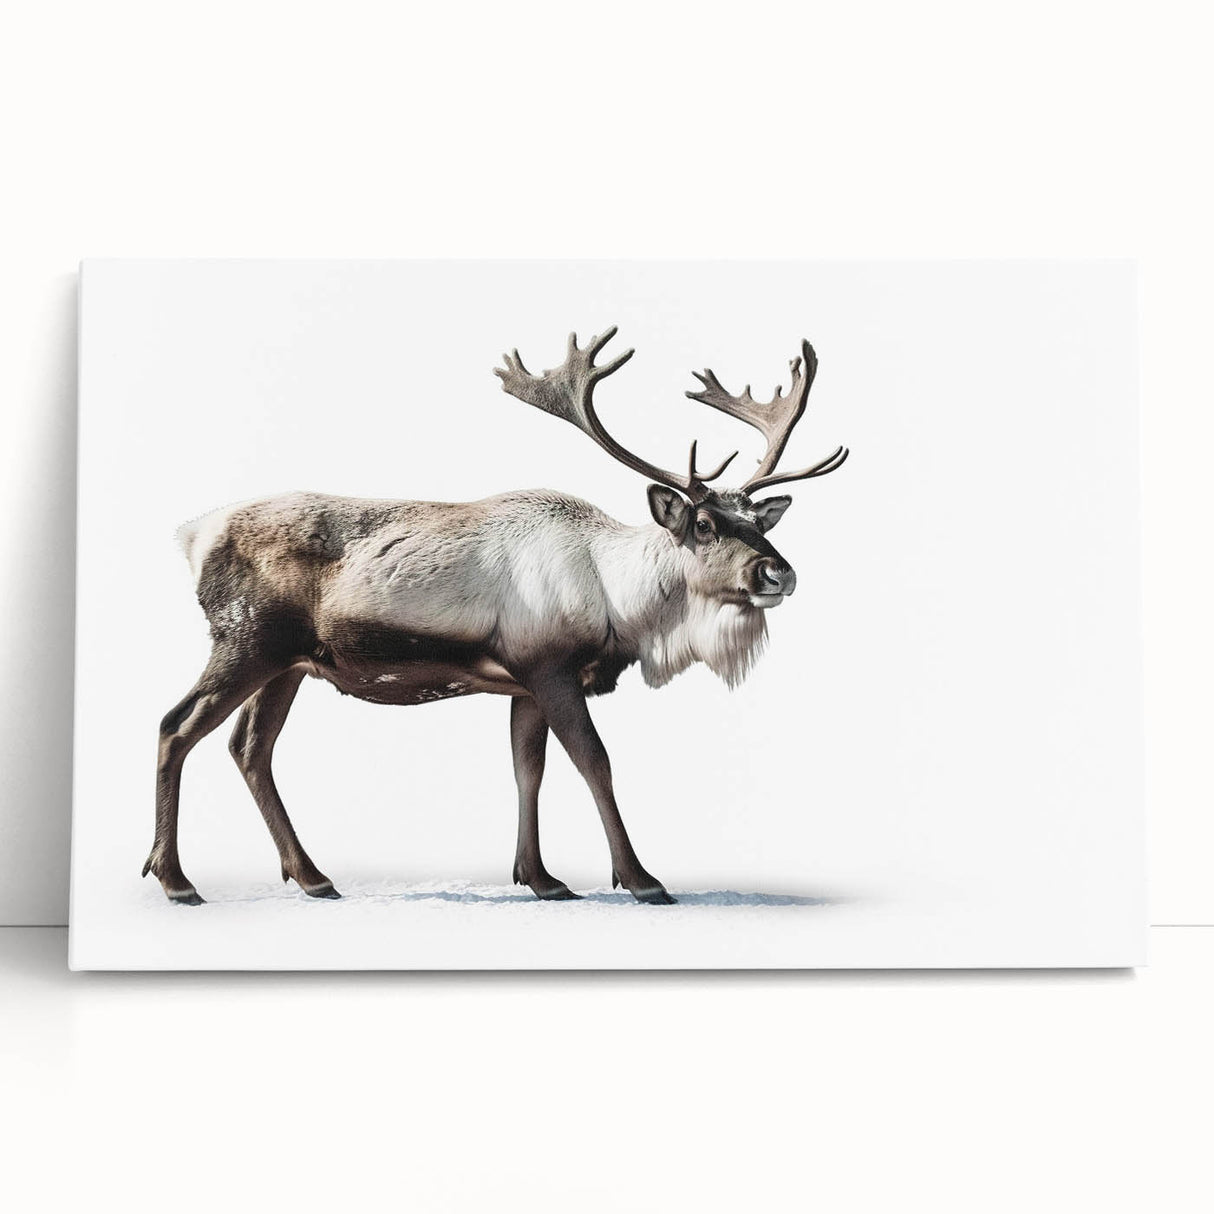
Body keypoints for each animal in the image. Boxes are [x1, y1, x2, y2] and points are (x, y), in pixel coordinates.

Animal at [146, 328, 848, 907]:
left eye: (760, 523)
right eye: (703, 524)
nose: (778, 573)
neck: (618, 602)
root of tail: (192, 535)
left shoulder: (523, 684)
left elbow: (526, 770)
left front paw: (542, 878)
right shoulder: (551, 668)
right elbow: (595, 761)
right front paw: (642, 879)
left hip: (290, 663)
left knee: (250, 746)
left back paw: (313, 876)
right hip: (246, 640)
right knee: (176, 726)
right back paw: (177, 881)